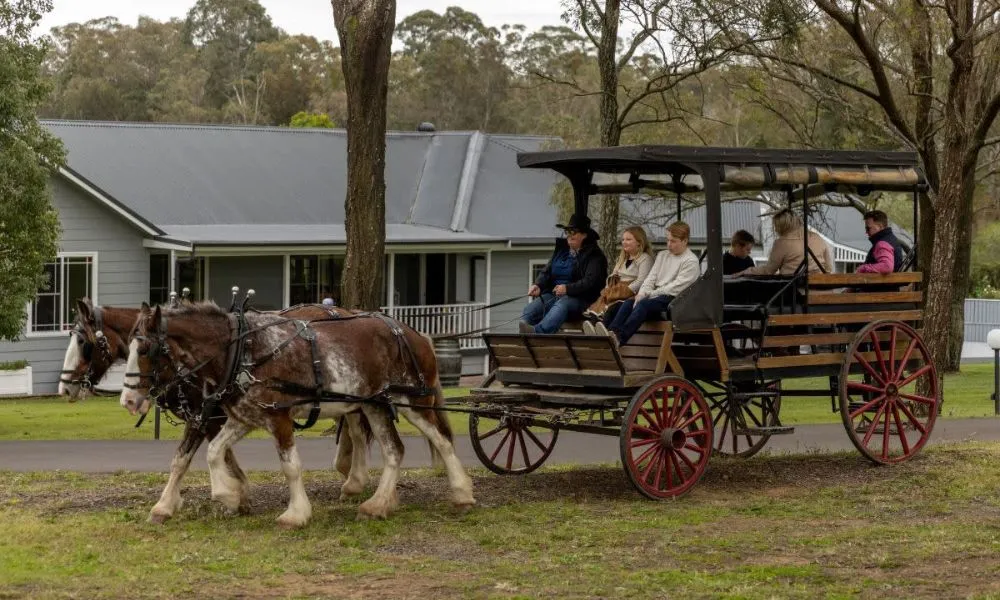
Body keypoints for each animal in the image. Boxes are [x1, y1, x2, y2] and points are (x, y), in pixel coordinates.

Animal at [59, 298, 456, 524]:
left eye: (83, 343)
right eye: (128, 348)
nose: (64, 386)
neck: (236, 351)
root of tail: (411, 332)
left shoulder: (225, 415)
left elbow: (274, 463)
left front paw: (263, 503)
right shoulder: (232, 415)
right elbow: (202, 456)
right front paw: (221, 496)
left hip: (409, 401)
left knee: (439, 439)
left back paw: (457, 492)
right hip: (370, 403)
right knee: (386, 445)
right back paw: (373, 495)